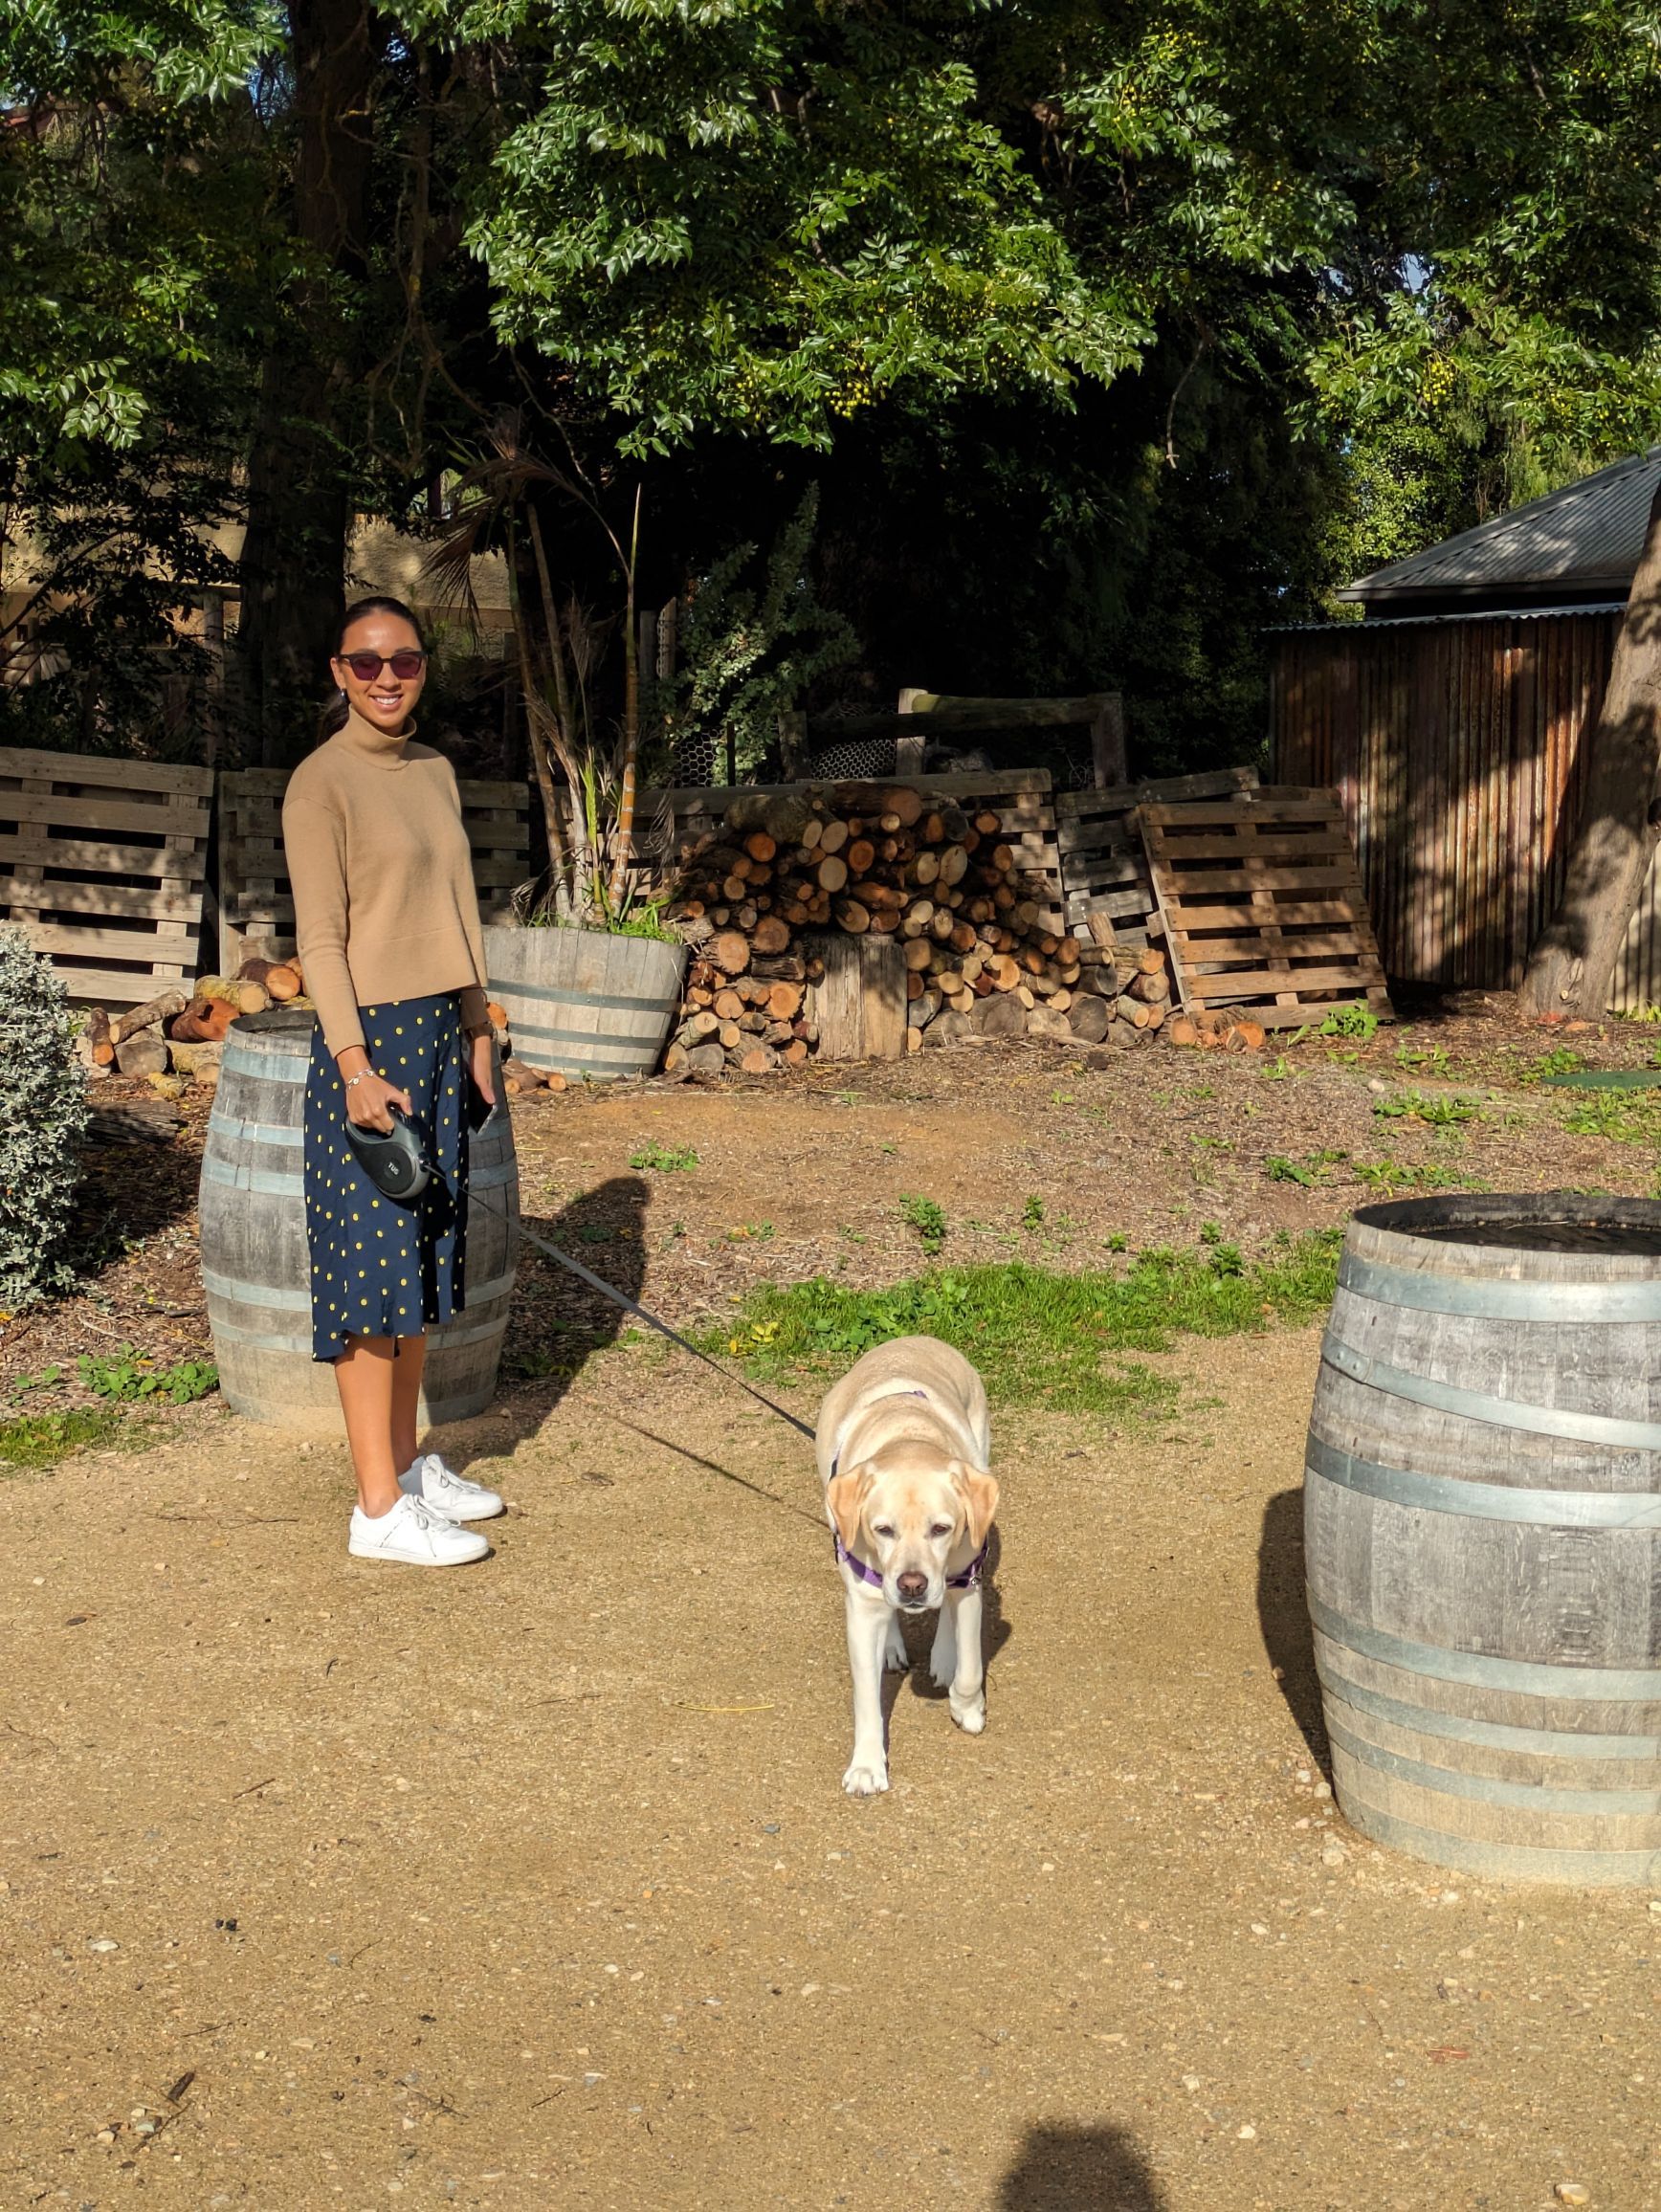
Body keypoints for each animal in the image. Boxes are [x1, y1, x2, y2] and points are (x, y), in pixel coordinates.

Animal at [818, 1327, 999, 1796]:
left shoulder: (969, 1580)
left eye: (941, 1528)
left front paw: (967, 1707)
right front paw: (867, 1767)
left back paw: (943, 1659)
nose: (912, 1585)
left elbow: (971, 1666)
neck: (908, 1438)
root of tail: (912, 1337)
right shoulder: (863, 1604)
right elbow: (866, 1700)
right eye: (883, 1530)